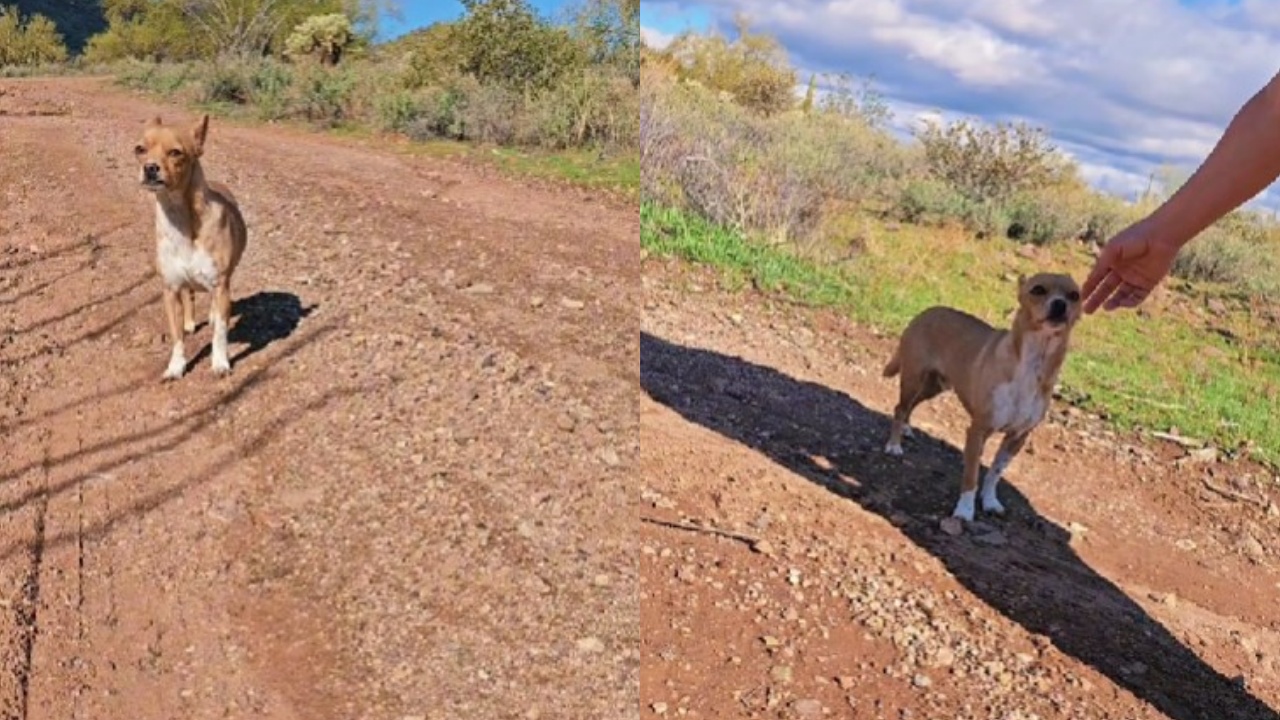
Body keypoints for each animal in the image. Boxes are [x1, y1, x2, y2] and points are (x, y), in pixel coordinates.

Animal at [135, 114, 247, 379]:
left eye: (176, 153)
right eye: (140, 149)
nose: (150, 167)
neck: (180, 219)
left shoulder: (220, 285)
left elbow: (220, 334)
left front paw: (220, 363)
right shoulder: (171, 290)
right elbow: (177, 337)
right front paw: (176, 366)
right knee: (191, 296)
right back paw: (189, 322)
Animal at [880, 271, 1080, 517]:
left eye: (1075, 295)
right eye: (1038, 290)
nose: (1060, 304)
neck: (1033, 362)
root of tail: (928, 311)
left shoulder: (1016, 438)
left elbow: (995, 473)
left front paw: (990, 500)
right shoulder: (978, 431)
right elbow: (971, 475)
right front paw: (965, 510)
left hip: (934, 386)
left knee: (911, 406)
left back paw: (907, 429)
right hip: (913, 379)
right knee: (900, 408)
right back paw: (894, 445)